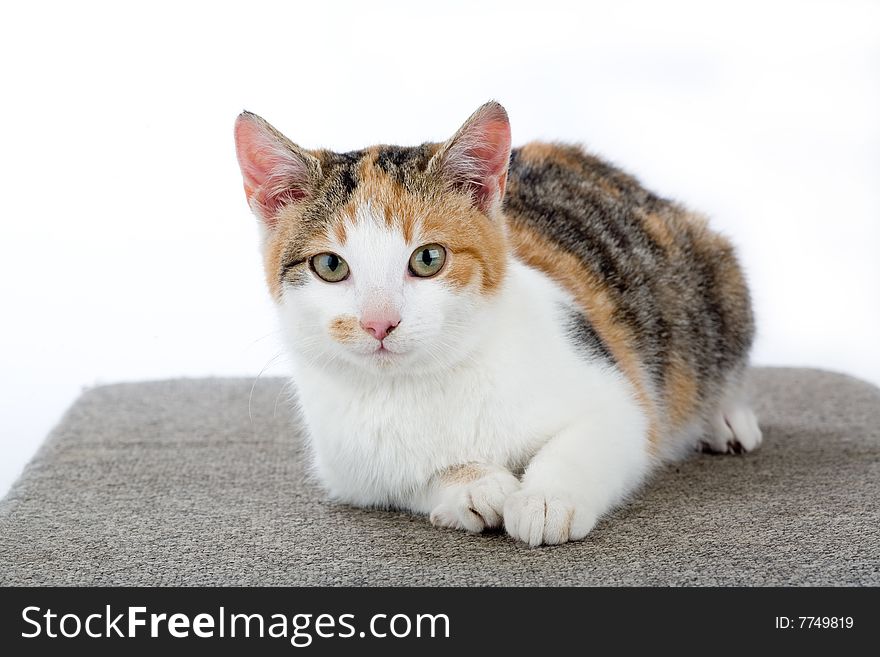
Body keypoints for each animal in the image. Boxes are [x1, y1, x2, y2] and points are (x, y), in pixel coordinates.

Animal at [235, 101, 764, 544]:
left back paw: (725, 419)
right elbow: (404, 478)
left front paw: (545, 499)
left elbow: (597, 435)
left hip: (711, 279)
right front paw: (472, 485)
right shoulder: (349, 471)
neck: (417, 385)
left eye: (428, 258)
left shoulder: (619, 394)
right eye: (330, 265)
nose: (379, 323)